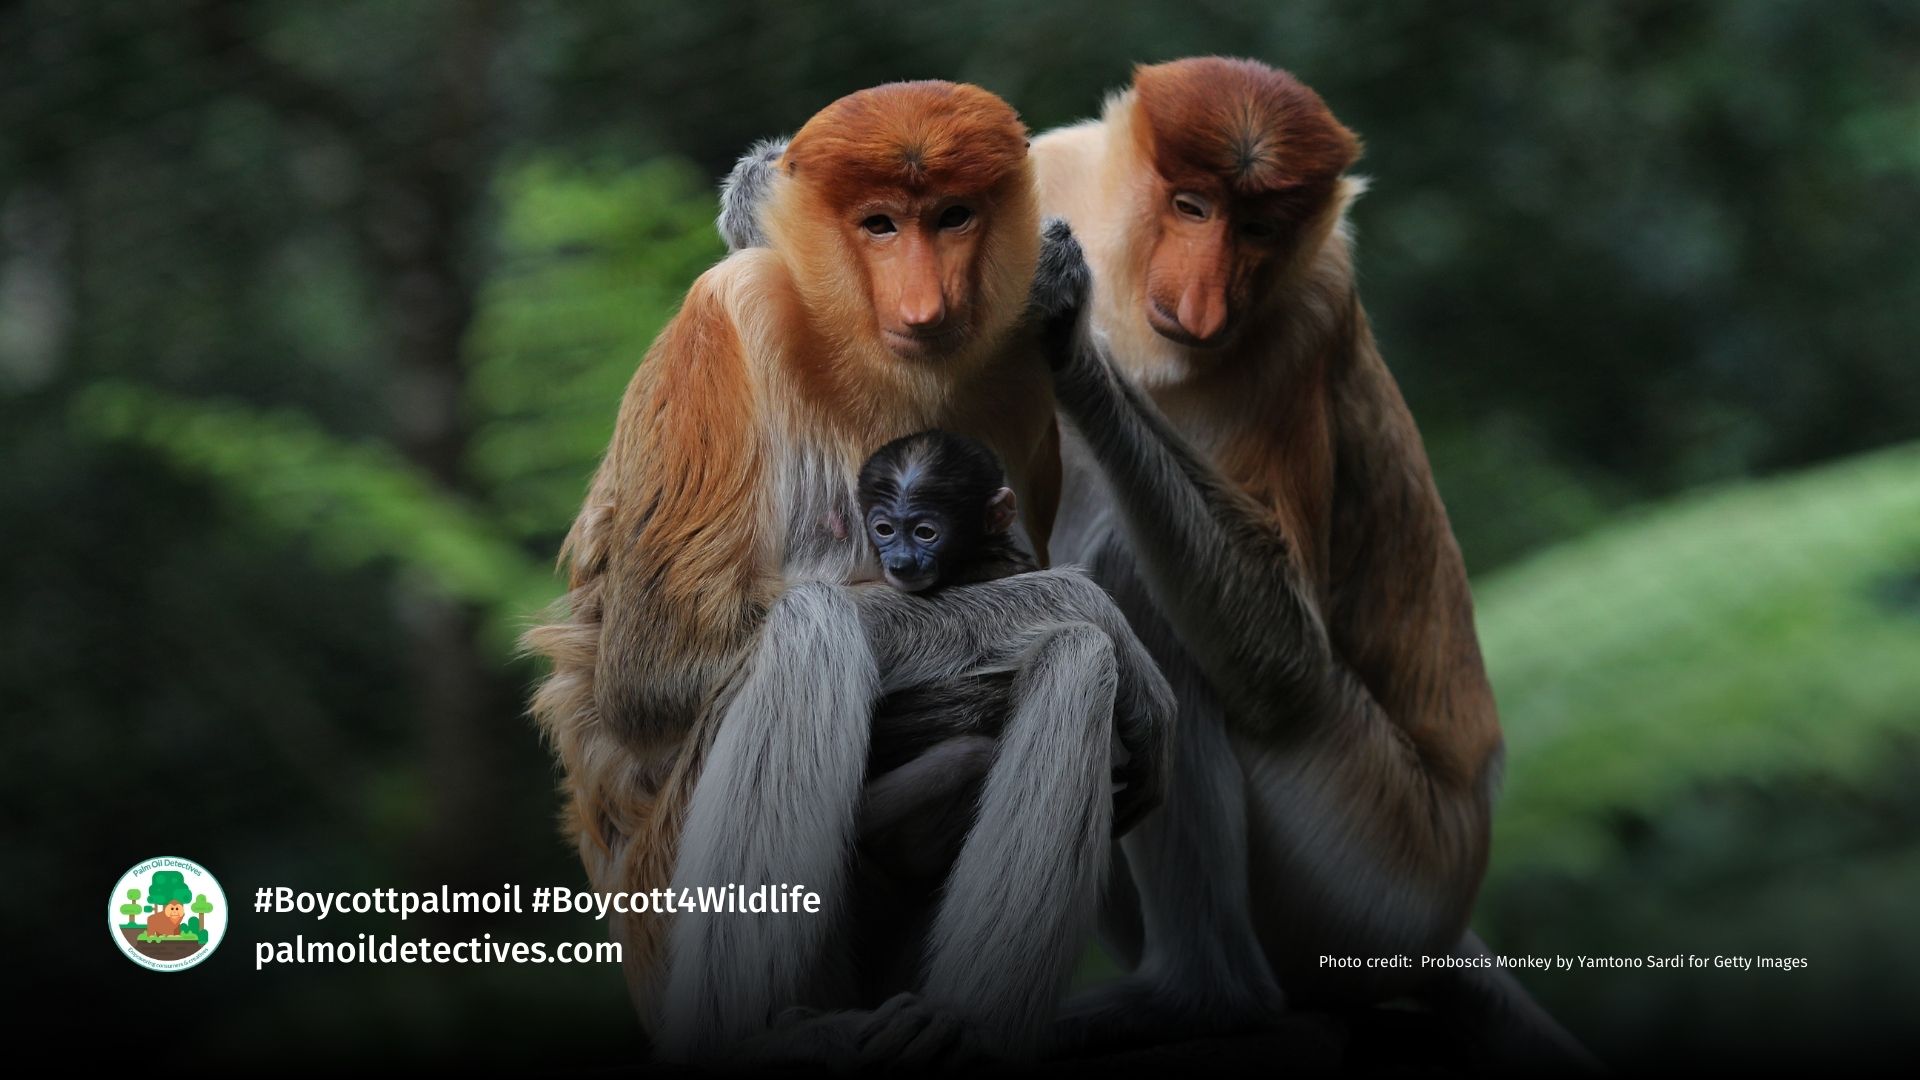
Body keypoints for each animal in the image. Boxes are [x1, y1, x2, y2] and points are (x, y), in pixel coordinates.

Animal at [523, 81, 1173, 1066]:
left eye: (951, 217)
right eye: (879, 225)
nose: (924, 306)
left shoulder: (1020, 378)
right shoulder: (730, 314)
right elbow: (655, 669)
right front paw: (1087, 610)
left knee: (1073, 667)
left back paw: (955, 1022)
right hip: (665, 915)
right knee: (813, 630)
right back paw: (763, 1031)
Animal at [1023, 57, 1596, 1066]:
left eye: (1258, 228)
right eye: (1192, 205)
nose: (1205, 305)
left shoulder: (1307, 314)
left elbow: (1283, 660)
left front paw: (1065, 334)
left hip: (1379, 864)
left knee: (1142, 599)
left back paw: (1198, 995)